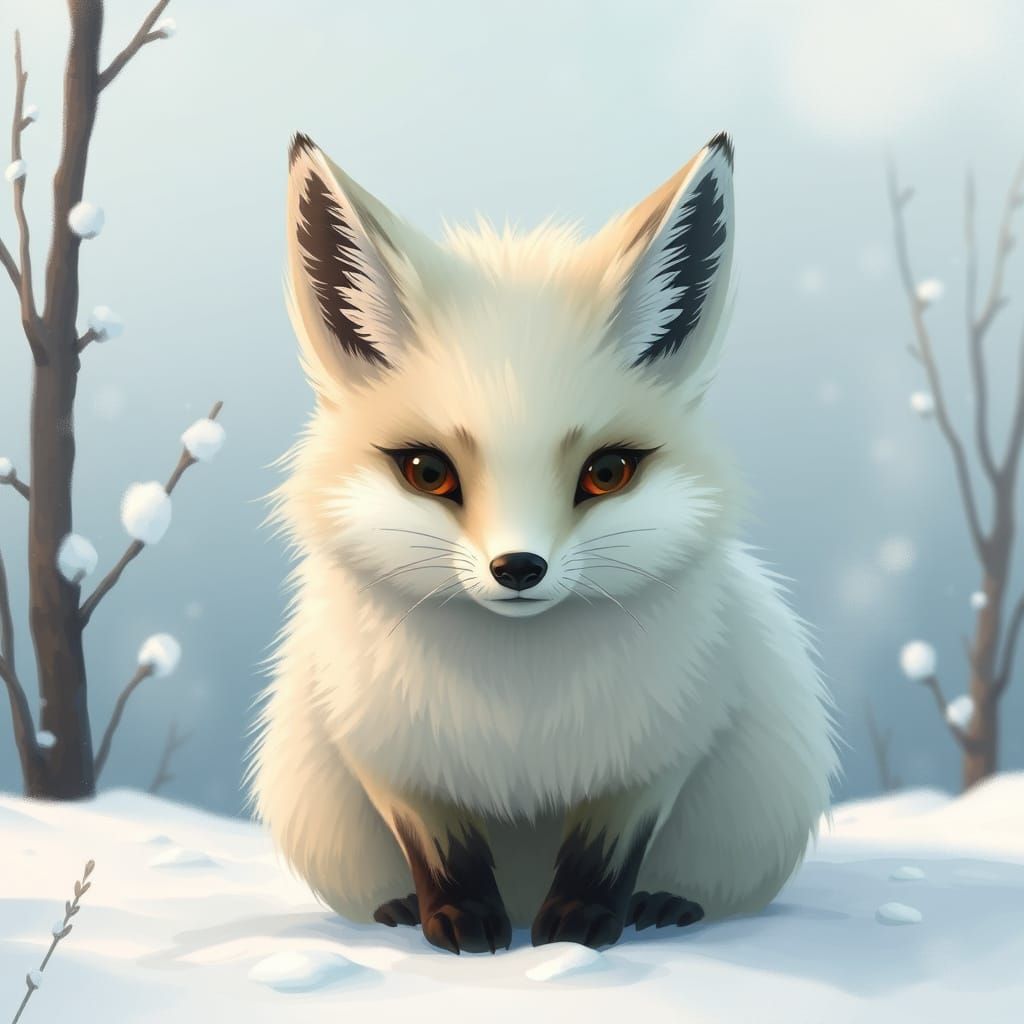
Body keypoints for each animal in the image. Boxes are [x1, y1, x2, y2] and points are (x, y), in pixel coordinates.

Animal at [249, 129, 838, 956]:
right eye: (428, 471)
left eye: (608, 472)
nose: (519, 567)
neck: (517, 717)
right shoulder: (387, 756)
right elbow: (442, 852)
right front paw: (459, 922)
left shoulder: (660, 751)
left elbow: (605, 853)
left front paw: (581, 930)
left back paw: (664, 903)